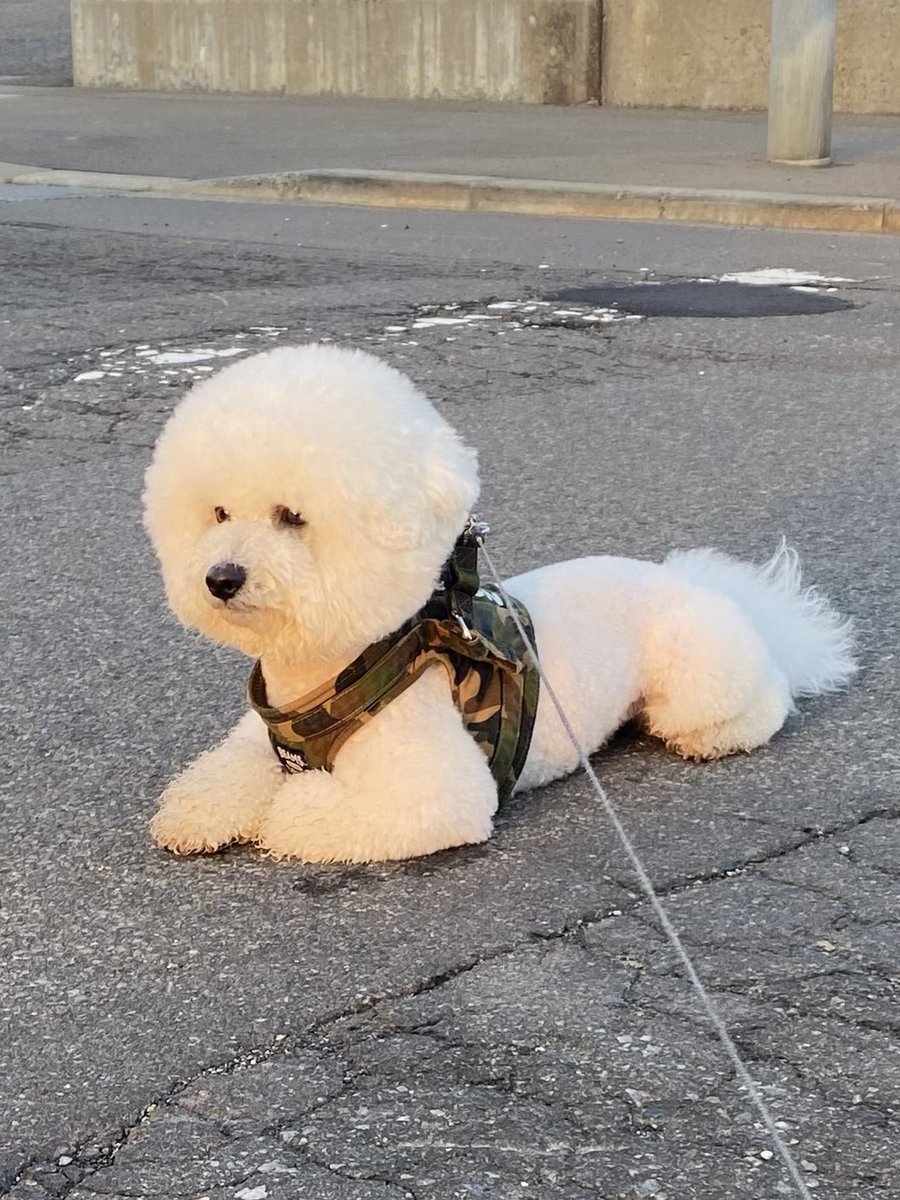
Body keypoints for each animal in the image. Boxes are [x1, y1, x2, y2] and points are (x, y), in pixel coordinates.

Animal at [144, 345, 854, 864]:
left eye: (292, 517)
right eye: (218, 514)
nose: (221, 578)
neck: (331, 670)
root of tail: (708, 586)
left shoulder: (436, 792)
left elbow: (308, 813)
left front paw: (280, 815)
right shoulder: (257, 741)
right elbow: (219, 779)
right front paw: (197, 813)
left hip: (697, 675)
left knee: (759, 701)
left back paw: (717, 735)